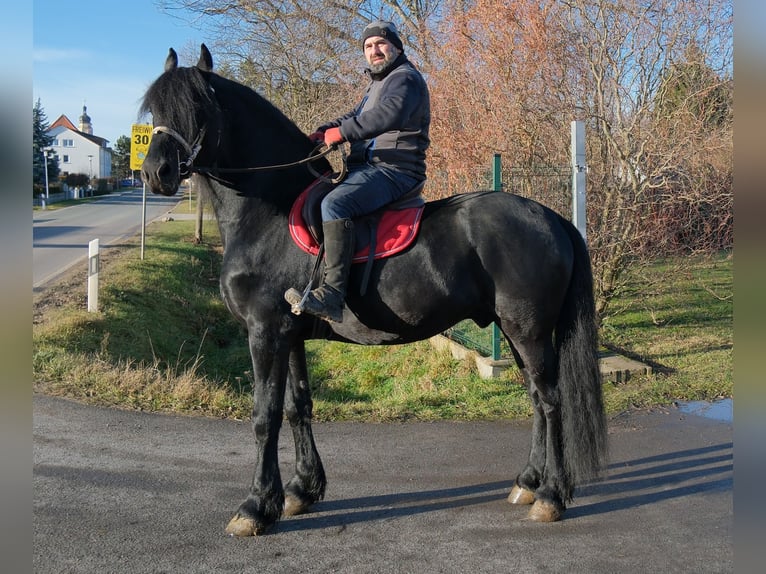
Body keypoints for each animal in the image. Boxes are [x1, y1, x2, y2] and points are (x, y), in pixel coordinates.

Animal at [140, 44, 607, 536]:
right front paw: (302, 490)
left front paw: (255, 507)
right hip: (517, 331)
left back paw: (552, 496)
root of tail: (551, 216)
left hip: (528, 331)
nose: (155, 173)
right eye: (155, 111)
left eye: (197, 107)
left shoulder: (264, 332)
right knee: (536, 397)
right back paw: (527, 483)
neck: (268, 214)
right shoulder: (290, 335)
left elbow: (264, 416)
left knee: (550, 401)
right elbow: (298, 406)